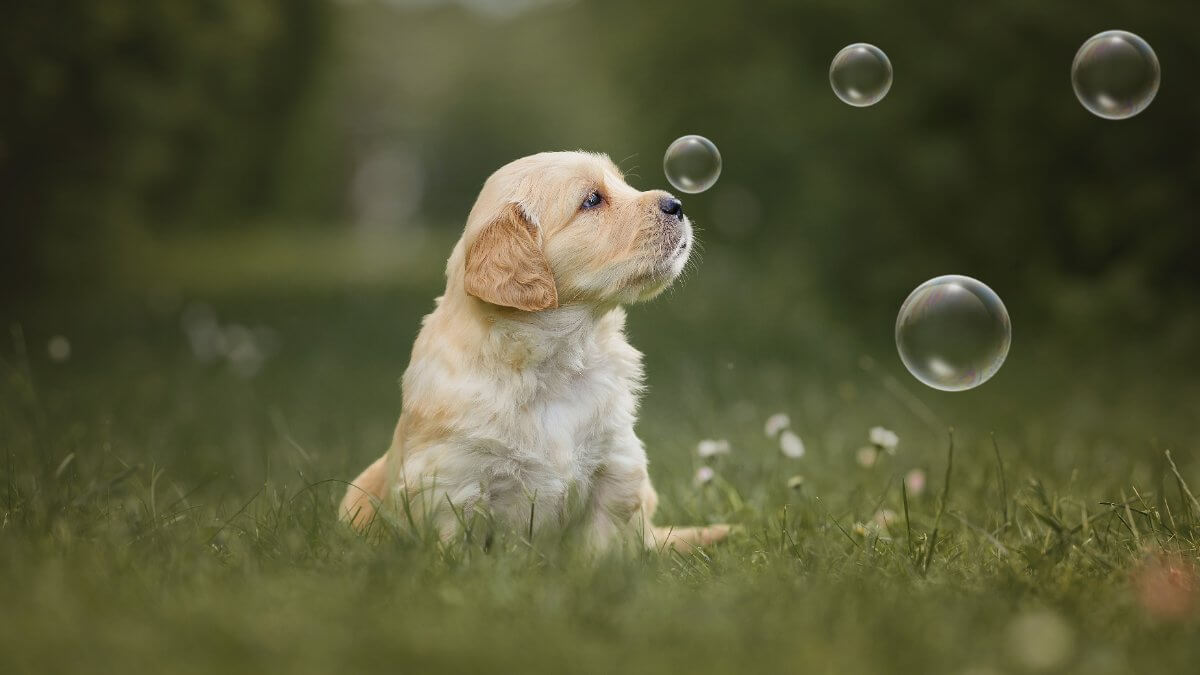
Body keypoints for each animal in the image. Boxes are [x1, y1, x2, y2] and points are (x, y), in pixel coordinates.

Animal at [340, 149, 729, 550]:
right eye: (592, 200)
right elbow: (457, 547)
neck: (558, 357)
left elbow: (601, 545)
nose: (676, 204)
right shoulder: (452, 484)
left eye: (621, 183)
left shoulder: (616, 464)